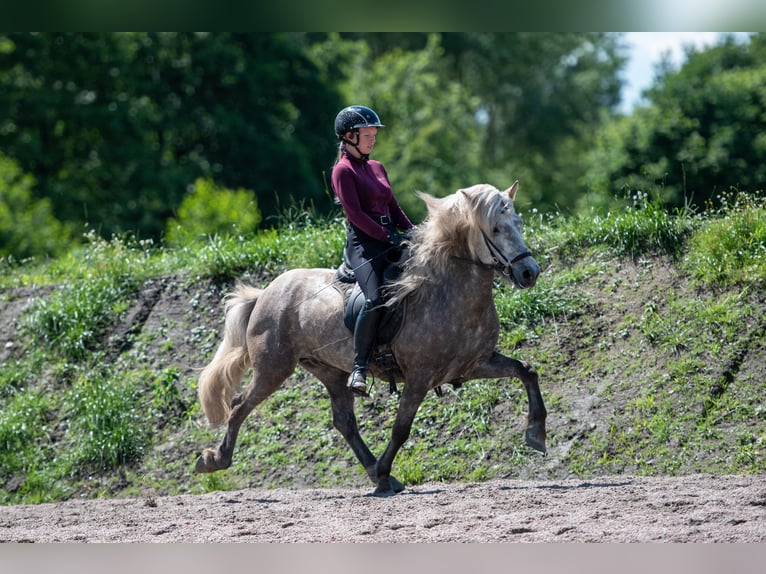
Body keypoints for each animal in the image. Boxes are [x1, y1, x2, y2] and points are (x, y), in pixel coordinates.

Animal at [195, 181, 548, 500]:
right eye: (495, 229)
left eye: (518, 223)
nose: (529, 272)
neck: (446, 290)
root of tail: (266, 292)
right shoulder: (419, 377)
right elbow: (401, 428)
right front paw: (384, 471)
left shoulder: (475, 364)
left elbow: (526, 370)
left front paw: (536, 434)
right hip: (273, 368)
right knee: (239, 406)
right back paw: (214, 460)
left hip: (329, 370)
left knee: (344, 422)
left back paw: (376, 473)